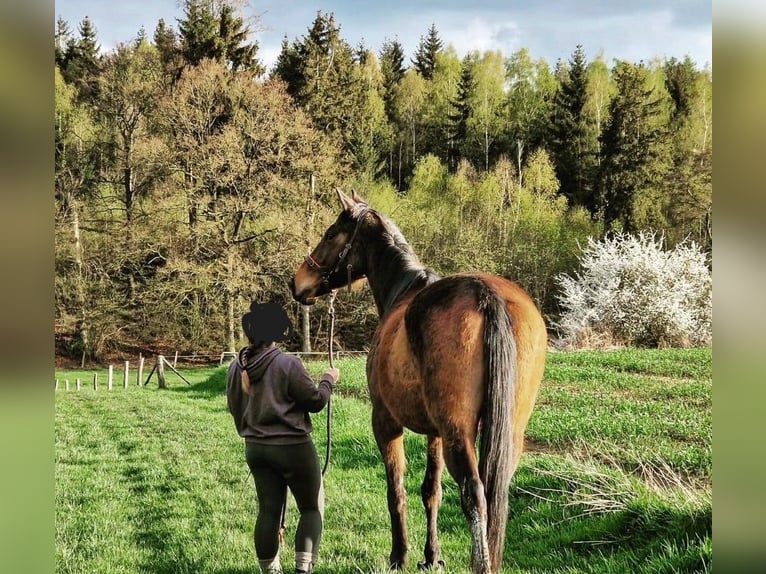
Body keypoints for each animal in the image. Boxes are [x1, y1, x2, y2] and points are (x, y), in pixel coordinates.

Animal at [290, 189, 547, 574]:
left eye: (331, 233)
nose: (298, 282)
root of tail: (485, 293)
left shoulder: (385, 422)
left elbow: (396, 489)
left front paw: (400, 555)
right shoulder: (434, 434)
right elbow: (431, 491)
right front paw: (432, 555)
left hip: (458, 433)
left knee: (475, 495)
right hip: (507, 432)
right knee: (495, 490)